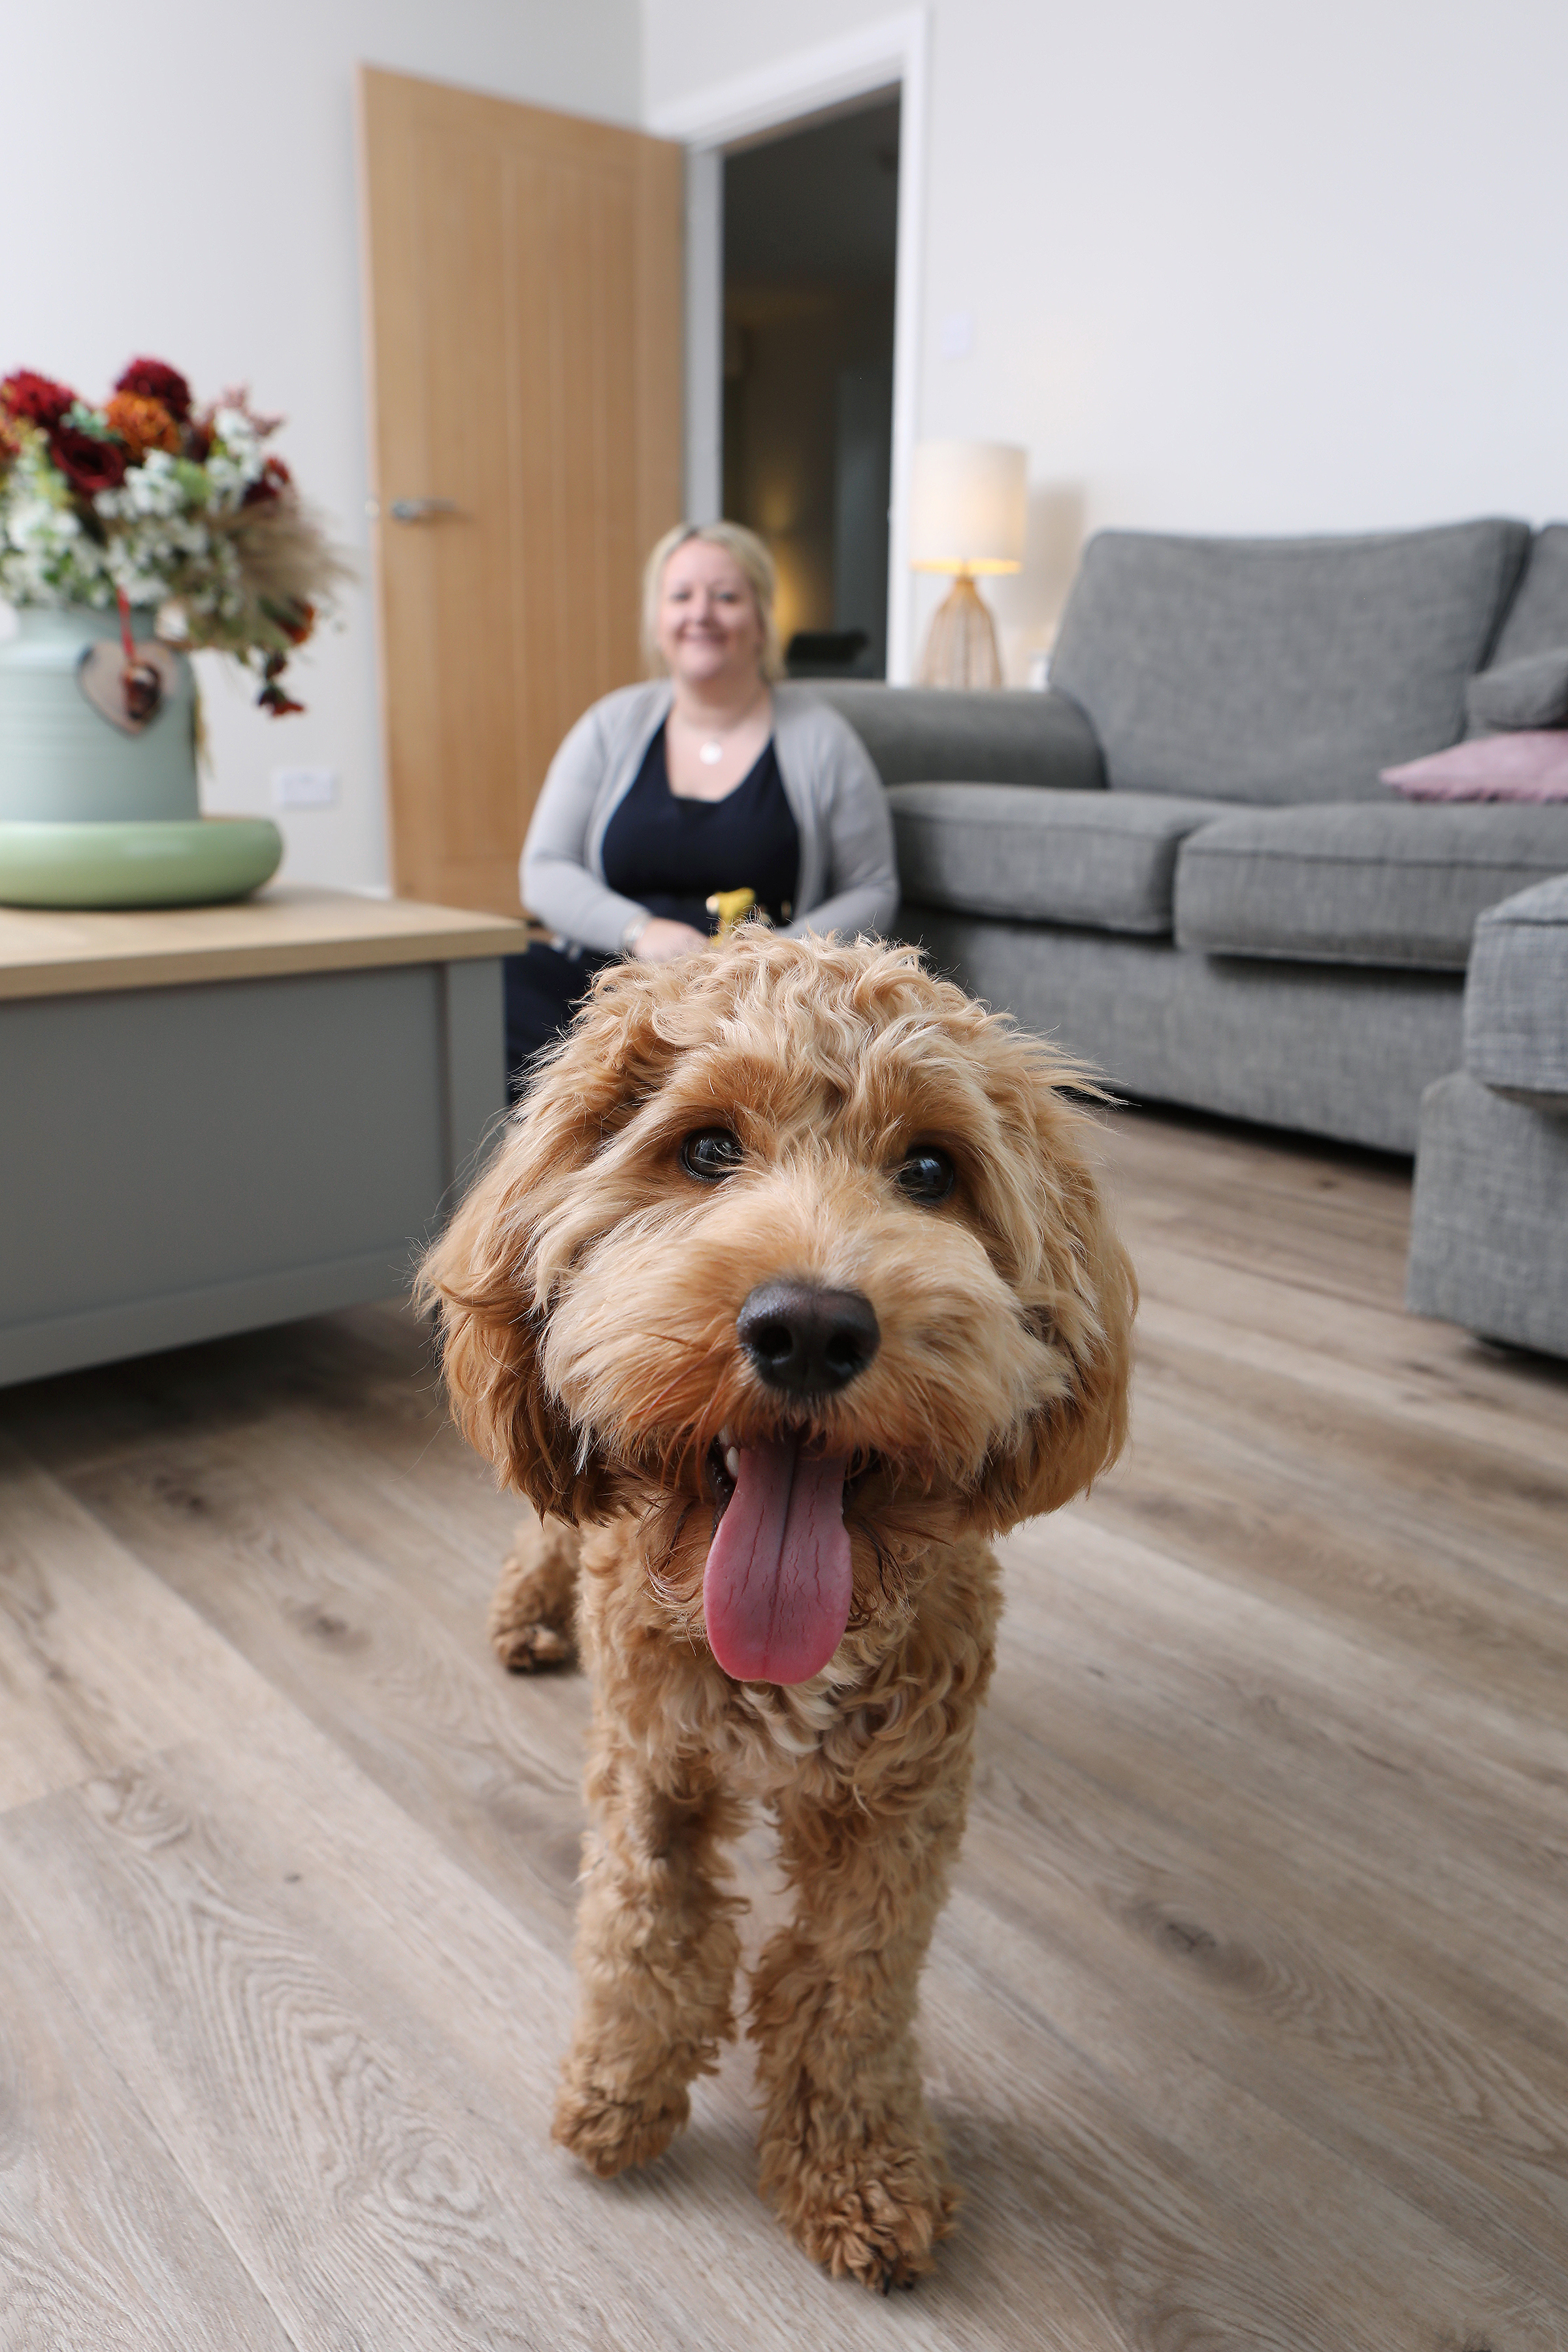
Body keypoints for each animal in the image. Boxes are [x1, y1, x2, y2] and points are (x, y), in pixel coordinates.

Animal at [425, 936, 1142, 2295]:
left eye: (932, 1170)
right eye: (706, 1148)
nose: (809, 1328)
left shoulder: (903, 1803)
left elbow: (847, 1979)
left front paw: (859, 2171)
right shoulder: (649, 1758)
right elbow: (646, 1924)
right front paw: (620, 2089)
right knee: (547, 1525)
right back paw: (528, 1615)